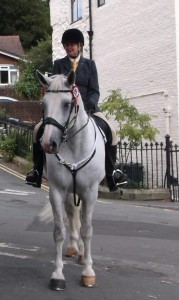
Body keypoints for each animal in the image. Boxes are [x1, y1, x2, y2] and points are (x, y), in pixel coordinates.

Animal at [37, 69, 105, 290]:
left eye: (67, 104)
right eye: (44, 104)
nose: (48, 143)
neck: (74, 145)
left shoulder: (90, 192)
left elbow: (88, 230)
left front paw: (88, 272)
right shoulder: (57, 191)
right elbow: (59, 231)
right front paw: (58, 274)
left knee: (81, 220)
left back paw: (82, 253)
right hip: (69, 193)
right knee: (72, 215)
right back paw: (74, 248)